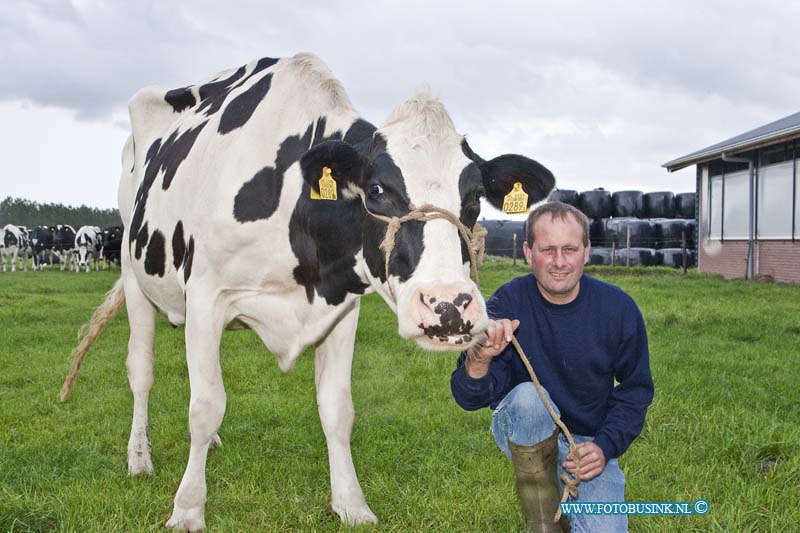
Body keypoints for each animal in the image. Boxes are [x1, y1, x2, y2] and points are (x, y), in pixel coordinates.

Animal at [62, 53, 556, 528]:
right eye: (378, 189)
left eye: (473, 198)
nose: (449, 306)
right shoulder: (205, 295)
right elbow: (203, 407)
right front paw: (187, 509)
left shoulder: (342, 309)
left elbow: (337, 409)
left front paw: (351, 504)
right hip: (135, 273)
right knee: (141, 370)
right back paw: (139, 457)